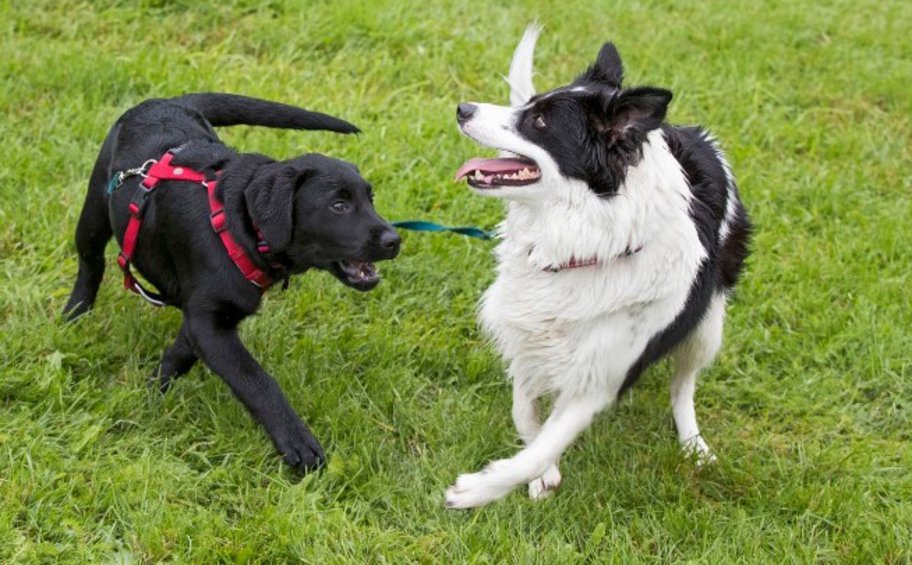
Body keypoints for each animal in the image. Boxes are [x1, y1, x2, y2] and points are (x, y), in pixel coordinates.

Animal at [64, 93, 400, 472]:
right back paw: (74, 315)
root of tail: (164, 101)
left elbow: (179, 354)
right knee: (90, 261)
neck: (237, 224)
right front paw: (297, 443)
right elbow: (256, 380)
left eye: (370, 200)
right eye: (339, 205)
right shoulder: (210, 324)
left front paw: (153, 390)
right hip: (95, 207)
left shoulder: (205, 317)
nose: (395, 240)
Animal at [446, 25, 752, 506]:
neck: (583, 244)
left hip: (708, 325)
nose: (463, 108)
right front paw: (542, 473)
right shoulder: (529, 337)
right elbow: (525, 416)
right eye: (530, 105)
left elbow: (542, 443)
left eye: (540, 122)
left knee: (683, 384)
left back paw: (693, 445)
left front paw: (479, 490)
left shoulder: (600, 376)